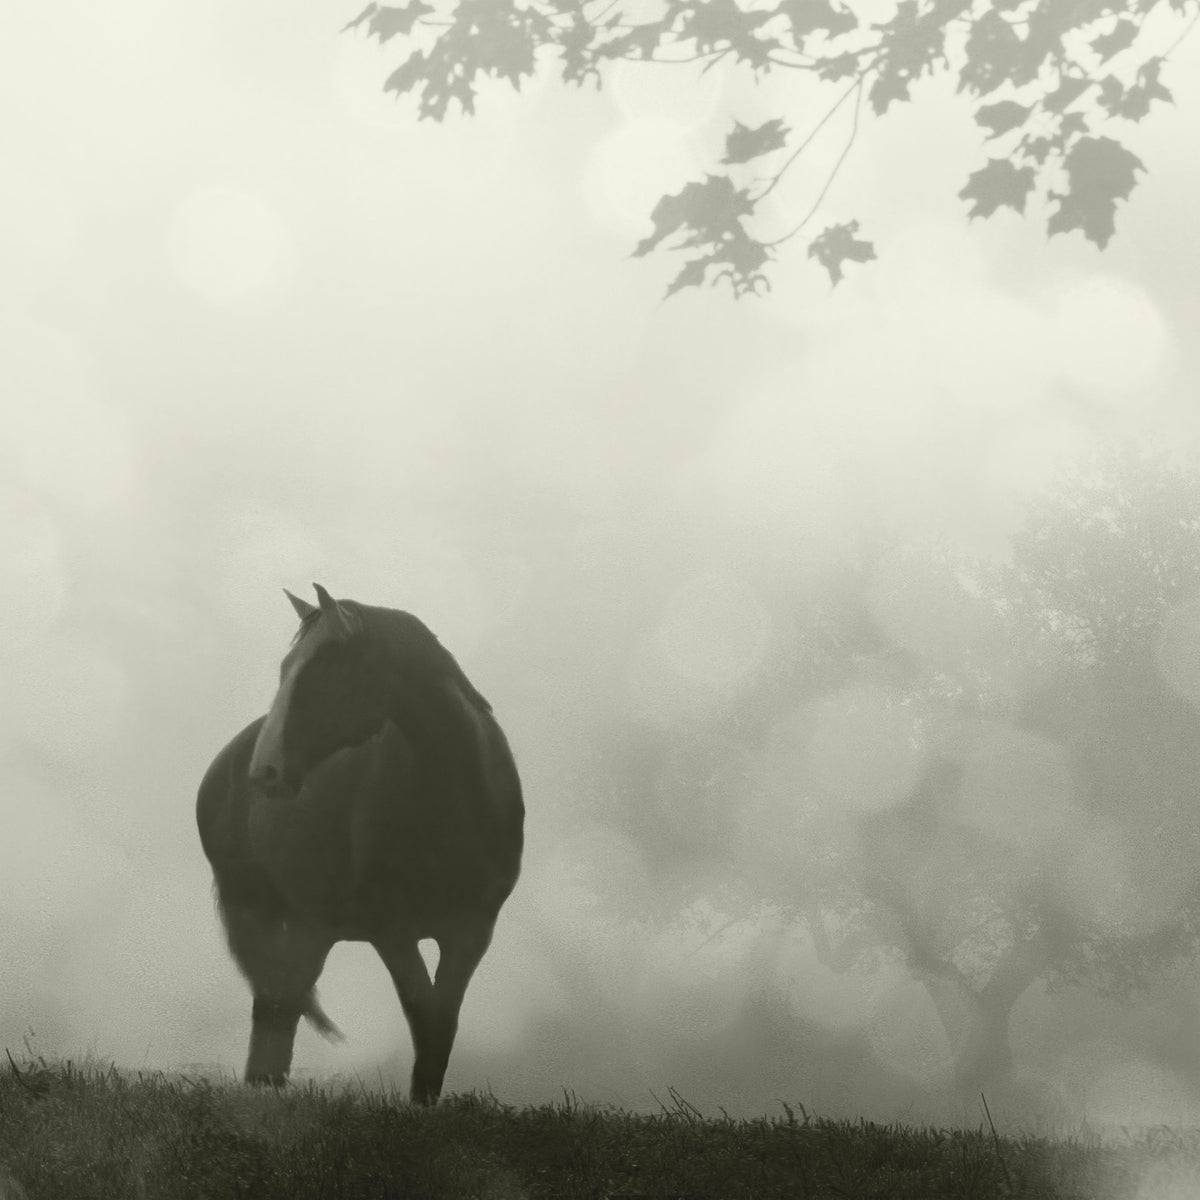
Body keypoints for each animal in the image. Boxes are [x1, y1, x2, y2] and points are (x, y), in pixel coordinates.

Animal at [196, 583, 524, 1104]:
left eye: (322, 667)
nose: (264, 770)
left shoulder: (472, 931)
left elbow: (443, 1022)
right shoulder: (393, 932)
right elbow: (423, 1014)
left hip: (311, 926)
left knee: (285, 1004)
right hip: (254, 906)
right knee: (270, 1002)